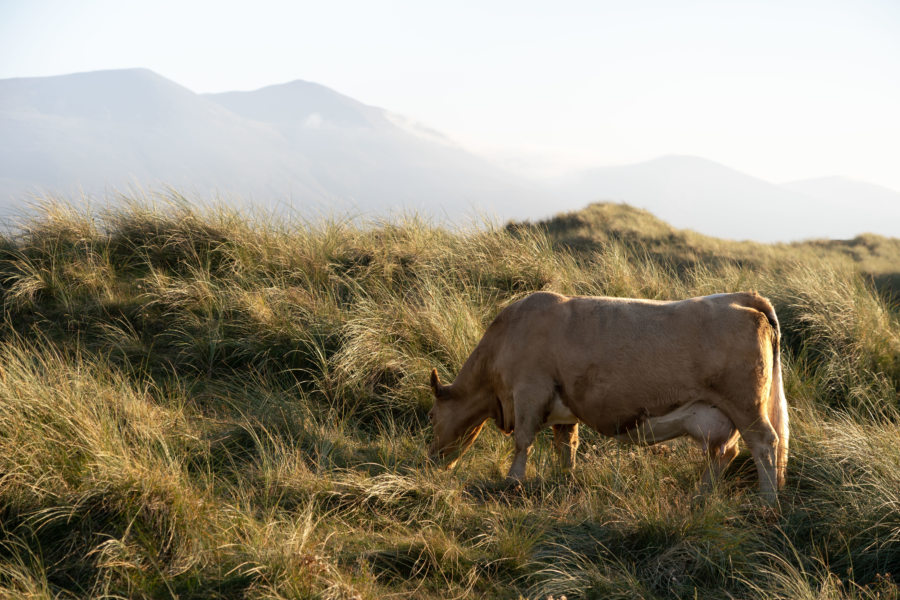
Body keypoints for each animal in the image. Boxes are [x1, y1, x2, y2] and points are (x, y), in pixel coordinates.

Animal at [428, 290, 788, 502]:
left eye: (431, 416)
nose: (431, 460)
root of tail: (742, 296)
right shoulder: (564, 408)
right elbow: (567, 446)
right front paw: (566, 479)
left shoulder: (530, 391)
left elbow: (523, 440)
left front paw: (512, 482)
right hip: (721, 413)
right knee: (725, 452)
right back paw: (700, 497)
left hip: (746, 405)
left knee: (764, 444)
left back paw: (766, 502)